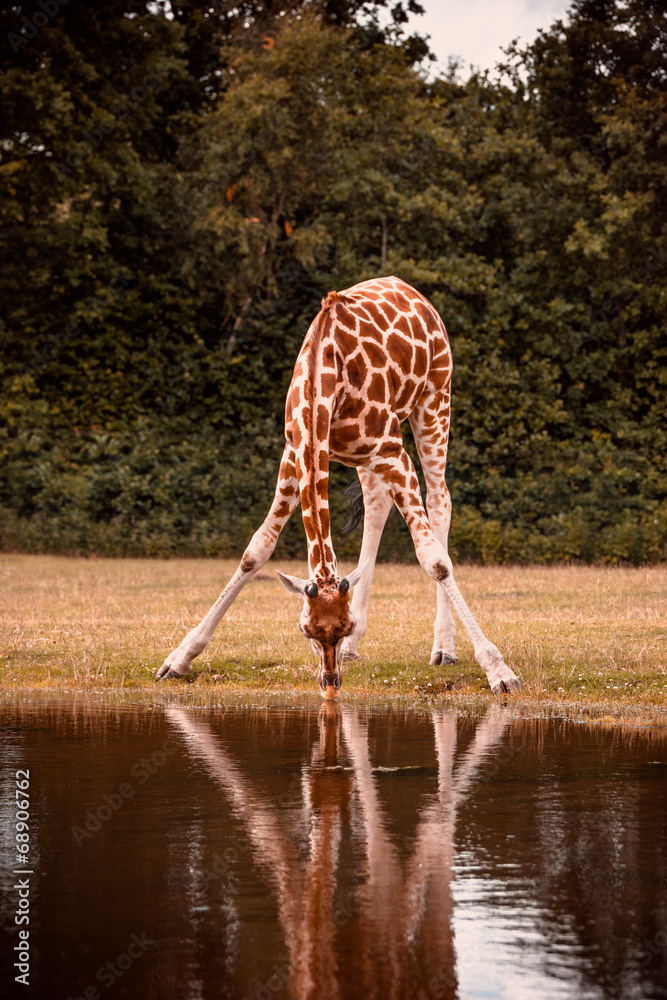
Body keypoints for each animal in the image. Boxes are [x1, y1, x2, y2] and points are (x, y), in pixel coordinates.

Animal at [157, 276, 520, 697]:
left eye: (340, 626)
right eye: (308, 632)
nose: (329, 684)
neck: (323, 380)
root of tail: (409, 289)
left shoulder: (391, 449)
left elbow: (435, 559)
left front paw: (498, 670)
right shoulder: (295, 452)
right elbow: (256, 550)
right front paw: (179, 657)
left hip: (434, 401)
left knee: (440, 499)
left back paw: (443, 648)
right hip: (366, 456)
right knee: (377, 504)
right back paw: (360, 648)